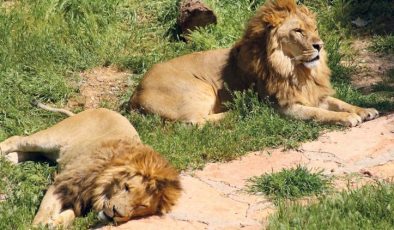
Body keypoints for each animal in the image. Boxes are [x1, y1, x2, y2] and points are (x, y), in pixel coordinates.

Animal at [0, 104, 181, 228]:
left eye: (141, 206)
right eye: (127, 187)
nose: (116, 214)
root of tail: (96, 109)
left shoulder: (80, 200)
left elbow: (71, 215)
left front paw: (56, 223)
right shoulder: (64, 183)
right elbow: (46, 210)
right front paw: (40, 225)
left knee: (31, 153)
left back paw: (10, 159)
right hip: (49, 139)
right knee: (17, 139)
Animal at [129, 0, 378, 126]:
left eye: (314, 28)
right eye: (298, 31)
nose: (320, 45)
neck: (296, 69)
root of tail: (135, 92)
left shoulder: (313, 94)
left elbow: (339, 102)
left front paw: (364, 110)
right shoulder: (282, 106)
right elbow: (318, 113)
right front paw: (347, 118)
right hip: (199, 89)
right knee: (193, 122)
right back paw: (239, 112)